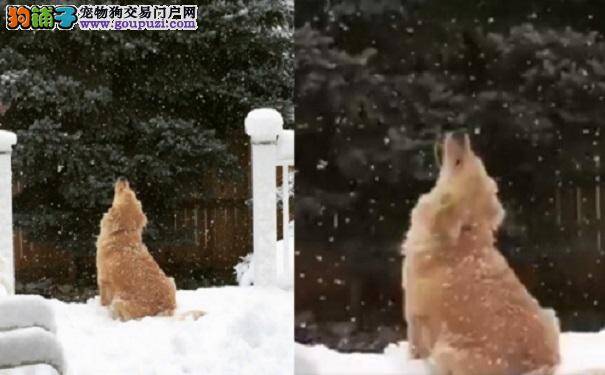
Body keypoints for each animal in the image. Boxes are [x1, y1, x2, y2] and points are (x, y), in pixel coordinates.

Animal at [96, 179, 177, 320]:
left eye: (123, 191)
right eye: (133, 193)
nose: (123, 178)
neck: (124, 232)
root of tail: (164, 308)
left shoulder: (103, 280)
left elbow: (103, 301)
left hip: (118, 302)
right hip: (171, 280)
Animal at [402, 134, 556, 375]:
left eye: (458, 163)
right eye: (478, 160)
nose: (460, 133)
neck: (462, 239)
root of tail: (539, 365)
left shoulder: (415, 314)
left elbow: (415, 349)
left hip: (446, 350)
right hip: (550, 315)